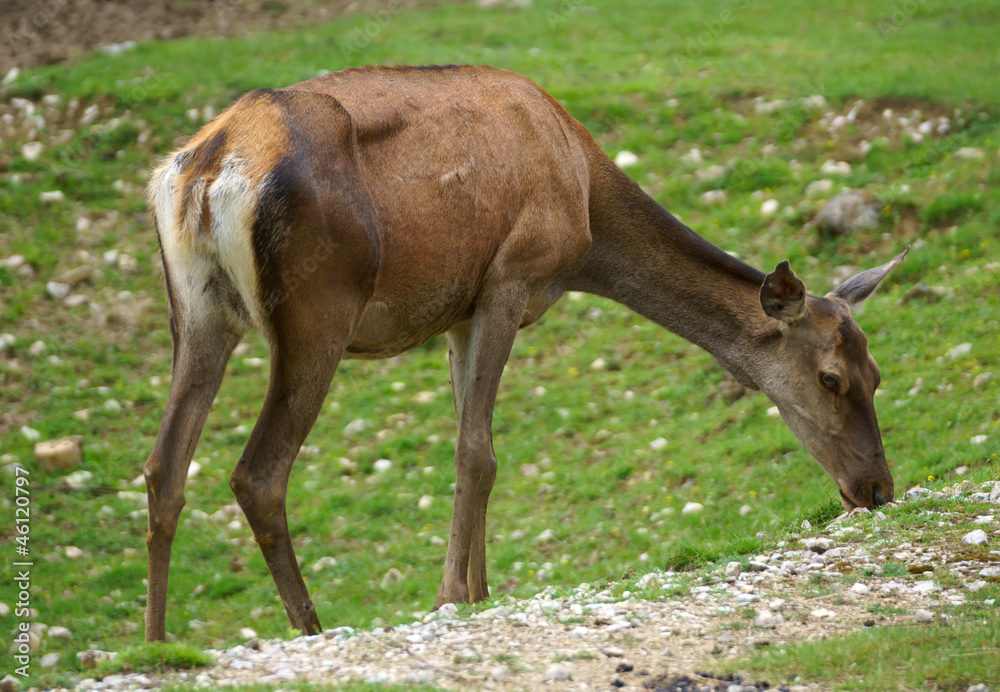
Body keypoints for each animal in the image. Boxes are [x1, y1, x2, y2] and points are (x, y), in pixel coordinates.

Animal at [143, 64, 907, 641]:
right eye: (830, 377)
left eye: (877, 373)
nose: (877, 489)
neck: (586, 211)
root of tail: (208, 171)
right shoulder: (511, 276)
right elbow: (479, 451)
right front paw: (452, 596)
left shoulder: (457, 311)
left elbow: (469, 444)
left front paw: (477, 590)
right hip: (318, 307)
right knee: (257, 473)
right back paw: (311, 626)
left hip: (197, 311)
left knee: (164, 466)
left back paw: (157, 645)